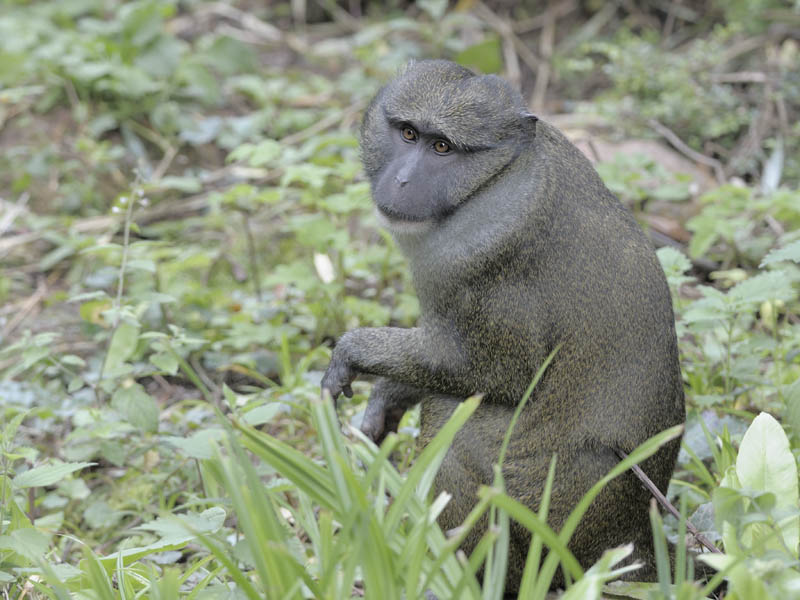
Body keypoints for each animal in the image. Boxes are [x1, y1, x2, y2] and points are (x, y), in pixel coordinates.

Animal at [321, 59, 685, 592]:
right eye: (408, 133)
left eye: (443, 147)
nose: (403, 182)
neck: (493, 179)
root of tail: (637, 532)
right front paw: (387, 395)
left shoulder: (481, 258)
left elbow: (490, 373)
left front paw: (355, 352)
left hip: (548, 512)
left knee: (455, 428)